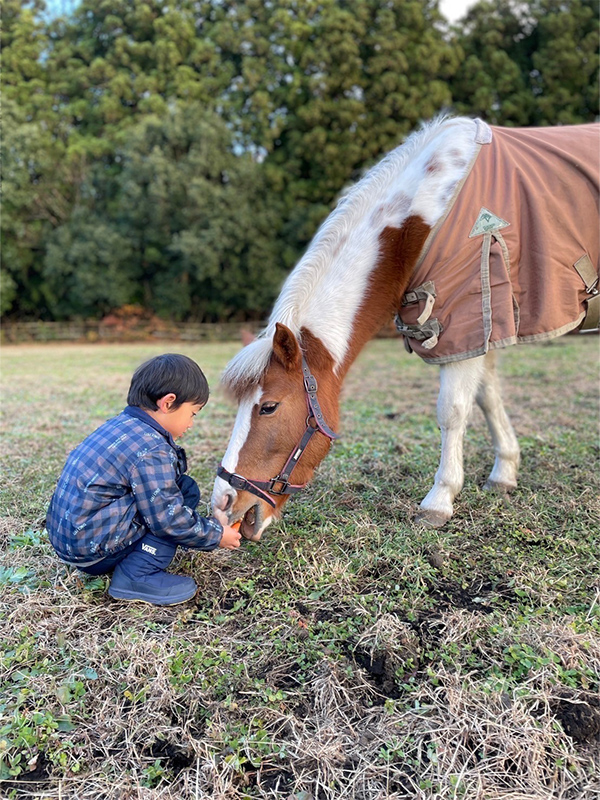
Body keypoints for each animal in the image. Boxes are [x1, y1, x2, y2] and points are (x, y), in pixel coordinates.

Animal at [211, 117, 600, 544]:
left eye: (269, 407)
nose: (223, 502)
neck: (422, 219)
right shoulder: (482, 325)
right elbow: (487, 396)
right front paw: (504, 472)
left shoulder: (464, 322)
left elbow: (453, 410)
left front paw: (439, 500)